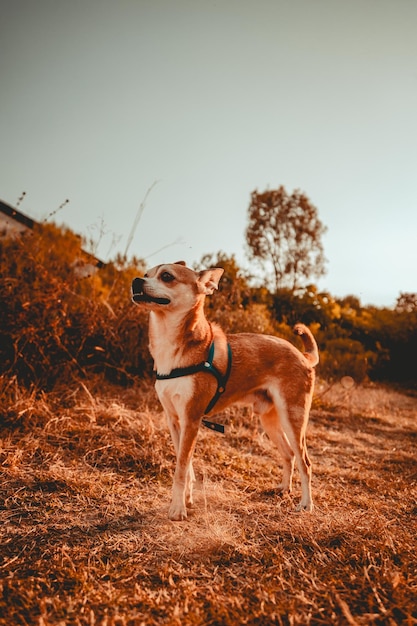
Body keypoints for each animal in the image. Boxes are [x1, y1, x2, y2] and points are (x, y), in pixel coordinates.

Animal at [132, 260, 318, 520]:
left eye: (167, 276)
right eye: (146, 274)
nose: (135, 281)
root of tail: (302, 356)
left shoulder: (191, 419)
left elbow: (181, 469)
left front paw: (178, 508)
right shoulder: (175, 421)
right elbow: (186, 465)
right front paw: (187, 498)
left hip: (293, 419)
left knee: (305, 462)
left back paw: (306, 504)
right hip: (269, 419)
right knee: (289, 454)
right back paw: (283, 488)